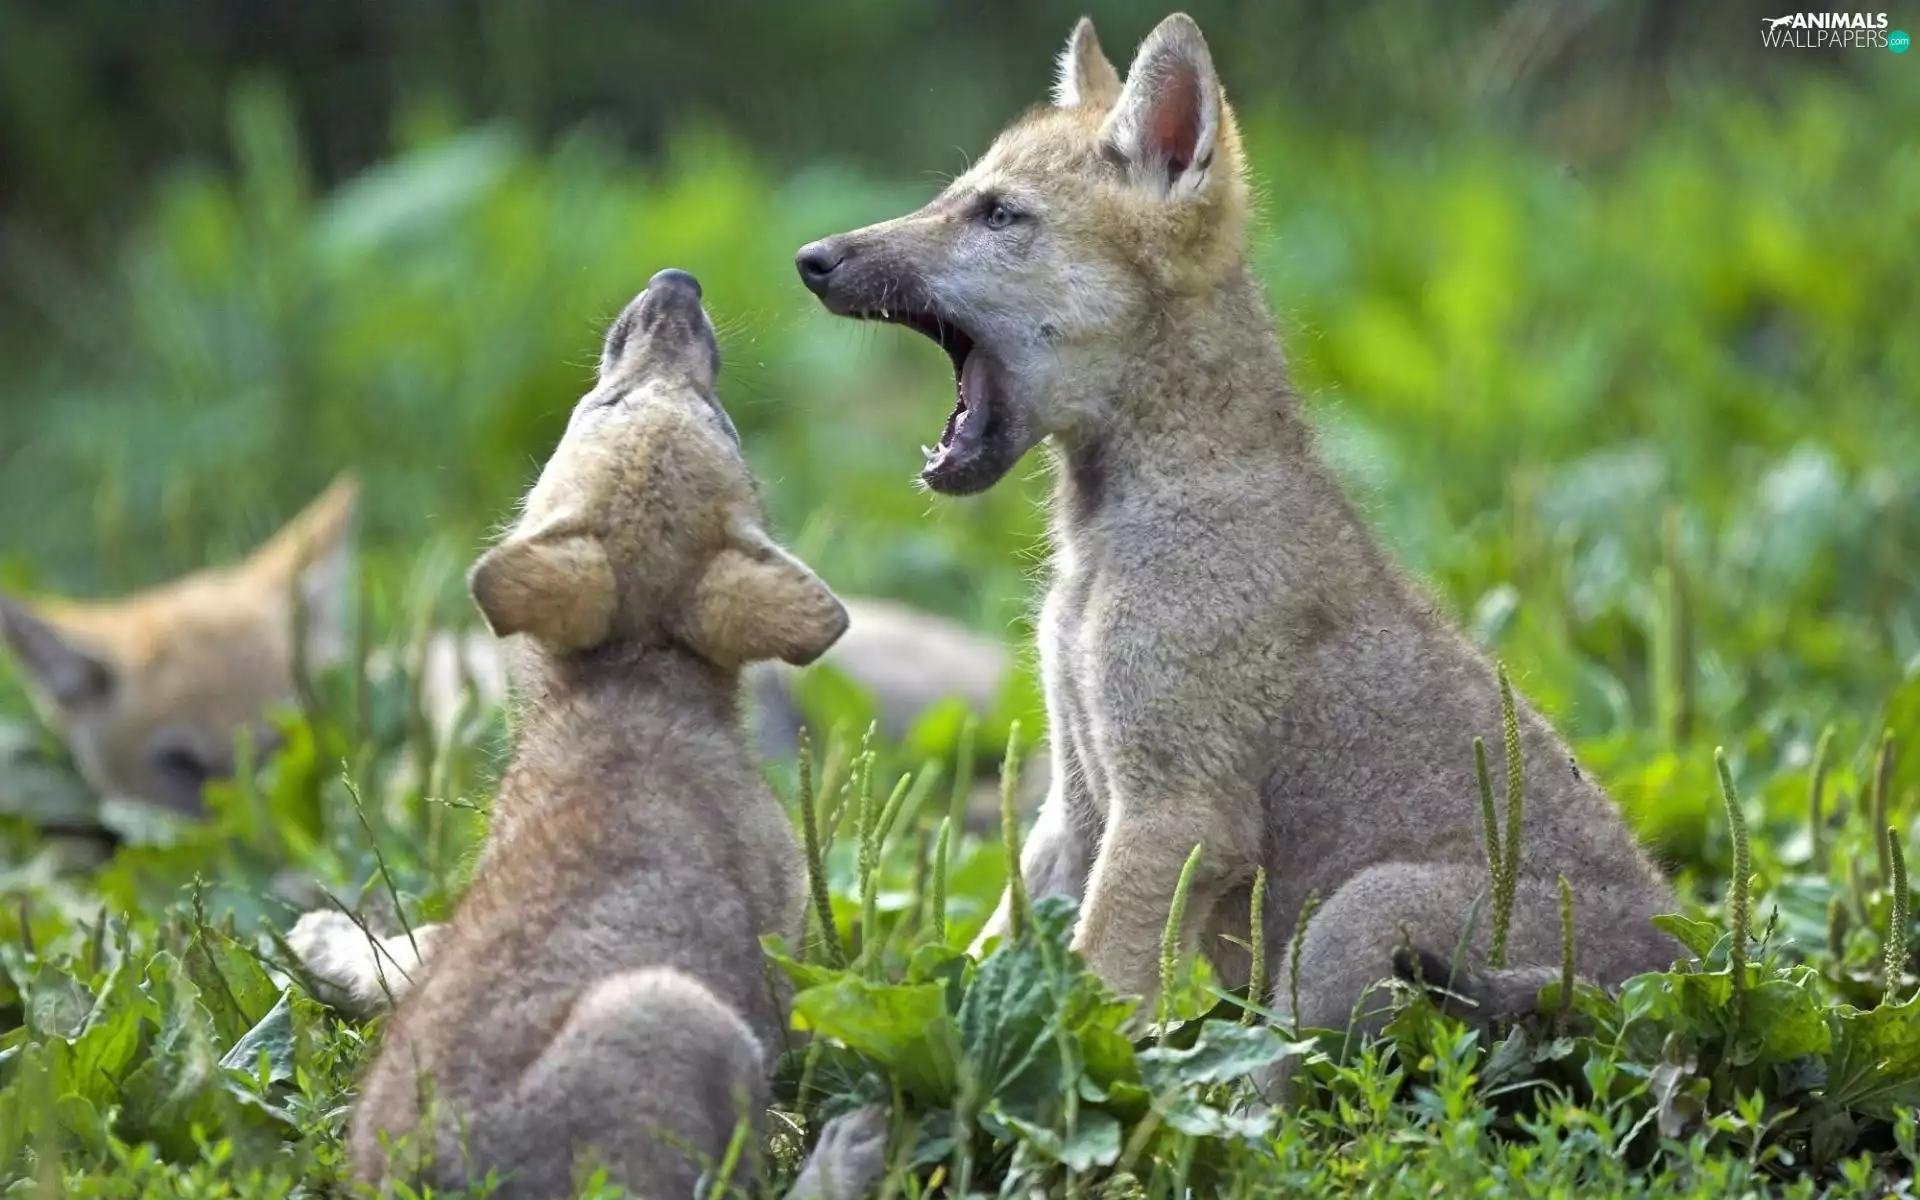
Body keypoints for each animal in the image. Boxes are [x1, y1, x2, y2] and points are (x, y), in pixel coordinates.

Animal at [334, 270, 885, 1198]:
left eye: (715, 414)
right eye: (608, 400)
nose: (677, 284)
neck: (636, 671)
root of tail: (433, 1179)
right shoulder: (788, 948)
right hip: (678, 1016)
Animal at [794, 12, 1677, 1058]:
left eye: (999, 214)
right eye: (956, 195)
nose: (810, 258)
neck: (1108, 543)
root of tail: (1673, 979)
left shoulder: (1176, 813)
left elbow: (1093, 1001)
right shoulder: (1075, 805)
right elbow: (992, 954)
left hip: (1350, 926)